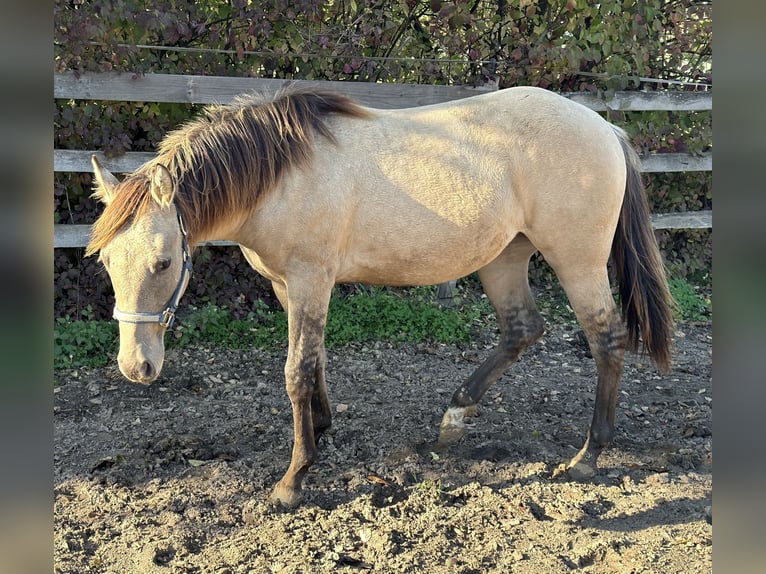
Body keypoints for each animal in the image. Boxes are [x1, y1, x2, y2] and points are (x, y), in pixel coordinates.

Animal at [85, 85, 672, 508]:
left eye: (163, 262)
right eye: (107, 262)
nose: (136, 367)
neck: (280, 175)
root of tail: (603, 126)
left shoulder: (310, 279)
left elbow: (296, 371)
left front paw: (293, 480)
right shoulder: (287, 285)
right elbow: (315, 361)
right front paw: (320, 429)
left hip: (576, 261)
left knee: (606, 340)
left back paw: (588, 456)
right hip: (504, 259)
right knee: (523, 330)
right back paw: (452, 420)